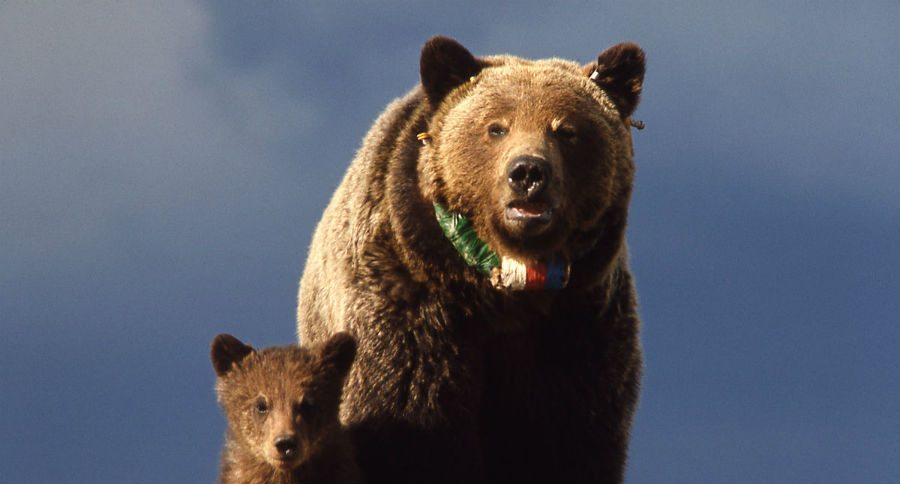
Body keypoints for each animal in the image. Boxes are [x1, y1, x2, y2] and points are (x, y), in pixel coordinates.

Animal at [297, 36, 645, 483]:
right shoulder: (411, 308)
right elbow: (410, 426)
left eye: (567, 130)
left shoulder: (580, 326)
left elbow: (569, 440)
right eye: (496, 127)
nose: (528, 173)